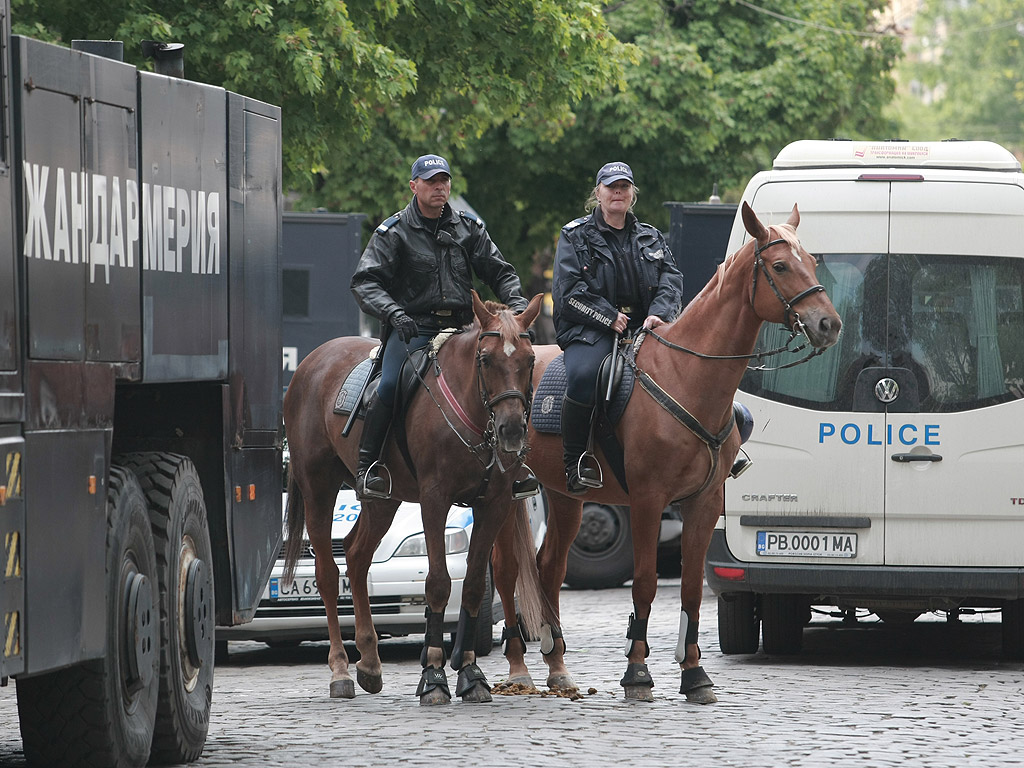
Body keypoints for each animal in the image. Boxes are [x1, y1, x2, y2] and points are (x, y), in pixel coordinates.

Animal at [284, 290, 548, 708]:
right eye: (486, 359)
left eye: (530, 360)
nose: (511, 431)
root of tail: (312, 361)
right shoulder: (434, 500)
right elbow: (438, 582)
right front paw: (434, 675)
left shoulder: (493, 504)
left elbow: (473, 584)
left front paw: (470, 674)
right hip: (318, 489)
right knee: (328, 573)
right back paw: (341, 670)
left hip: (381, 498)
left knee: (357, 555)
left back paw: (369, 663)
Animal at [493, 202, 839, 704]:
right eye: (779, 266)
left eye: (811, 261)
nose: (829, 324)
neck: (686, 376)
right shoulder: (648, 501)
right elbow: (645, 584)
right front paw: (637, 672)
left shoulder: (703, 503)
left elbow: (691, 589)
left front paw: (695, 675)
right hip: (504, 496)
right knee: (506, 570)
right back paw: (519, 667)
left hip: (565, 496)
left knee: (548, 568)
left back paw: (557, 667)